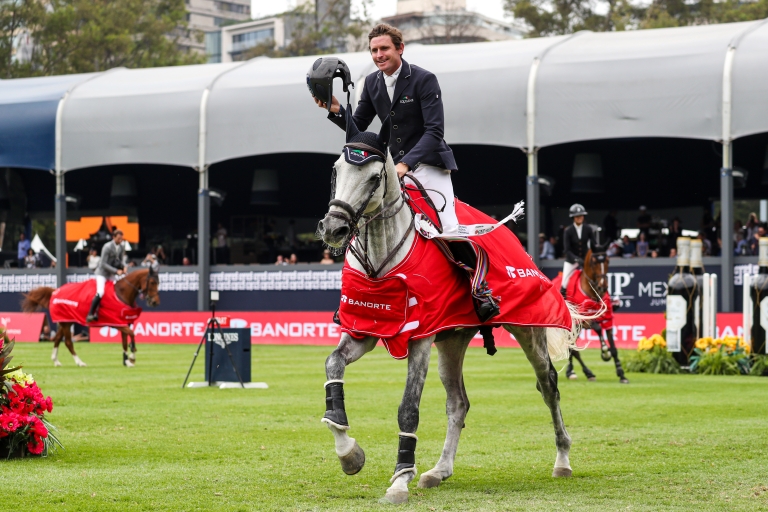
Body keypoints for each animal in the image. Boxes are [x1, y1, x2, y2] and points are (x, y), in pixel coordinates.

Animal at [21, 268, 159, 368]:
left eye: (158, 283)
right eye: (152, 282)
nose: (155, 302)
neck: (121, 294)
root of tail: (55, 291)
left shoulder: (123, 323)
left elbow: (125, 342)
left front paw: (126, 361)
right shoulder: (117, 323)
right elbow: (132, 334)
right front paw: (132, 358)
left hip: (67, 321)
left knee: (57, 339)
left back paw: (56, 361)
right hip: (66, 323)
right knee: (68, 342)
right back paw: (79, 362)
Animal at [564, 248, 632, 384]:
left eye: (607, 261)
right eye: (593, 262)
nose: (602, 286)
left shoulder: (608, 319)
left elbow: (614, 348)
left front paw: (621, 374)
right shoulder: (584, 320)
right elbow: (598, 328)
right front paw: (605, 351)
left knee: (572, 348)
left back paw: (573, 371)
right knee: (572, 348)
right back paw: (585, 372)